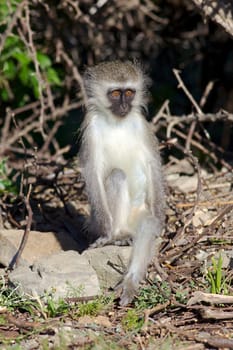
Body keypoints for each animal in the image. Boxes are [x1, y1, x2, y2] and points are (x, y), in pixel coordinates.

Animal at [80, 60, 166, 306]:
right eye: (116, 93)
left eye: (129, 93)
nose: (125, 105)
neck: (116, 122)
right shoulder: (91, 127)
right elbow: (93, 171)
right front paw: (108, 236)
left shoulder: (142, 125)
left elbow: (153, 164)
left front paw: (161, 221)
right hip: (97, 221)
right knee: (117, 175)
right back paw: (117, 237)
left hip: (139, 215)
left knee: (147, 226)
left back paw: (130, 281)